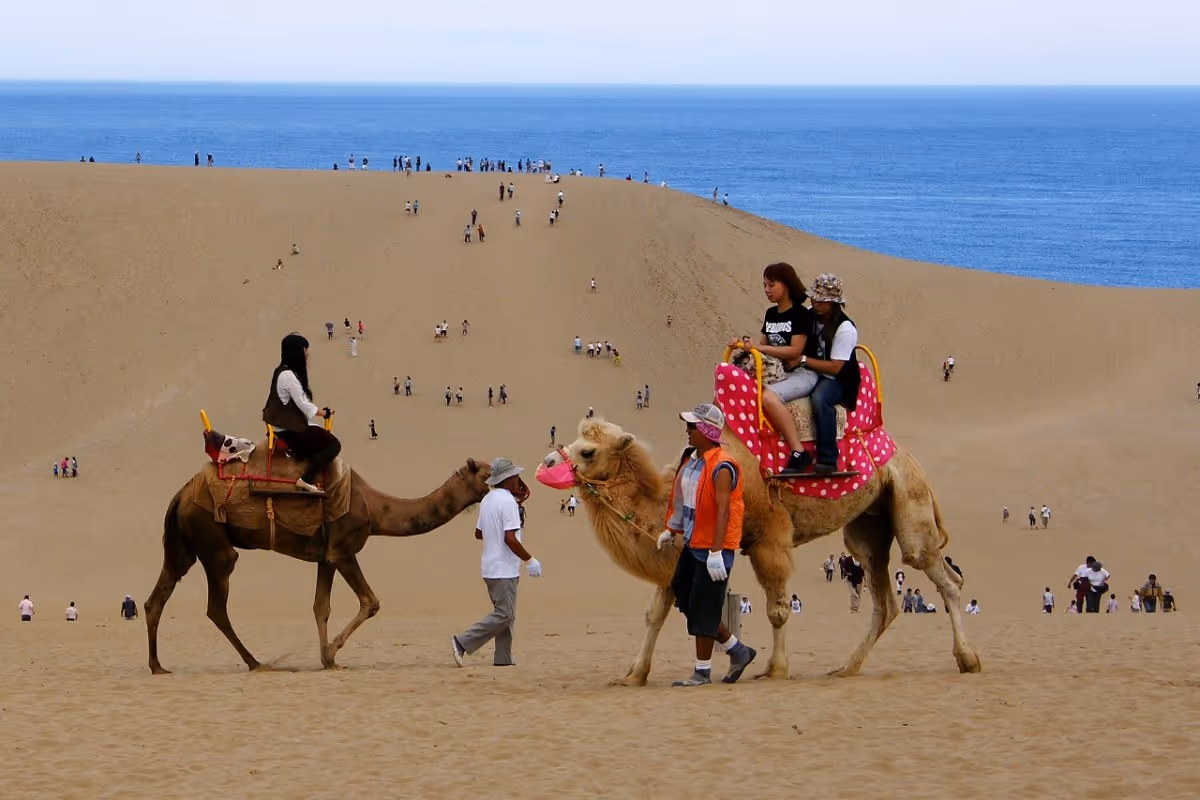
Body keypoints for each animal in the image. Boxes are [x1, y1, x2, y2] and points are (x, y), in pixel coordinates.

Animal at [145, 458, 491, 673]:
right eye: (488, 473)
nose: (512, 487)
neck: (374, 508)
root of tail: (180, 495)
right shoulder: (343, 551)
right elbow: (371, 602)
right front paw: (332, 654)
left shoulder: (326, 557)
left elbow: (320, 606)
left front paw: (327, 660)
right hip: (213, 541)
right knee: (216, 605)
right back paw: (255, 662)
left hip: (182, 546)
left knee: (156, 598)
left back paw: (158, 666)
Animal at [541, 418, 980, 685]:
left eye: (588, 451)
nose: (545, 463)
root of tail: (907, 456)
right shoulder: (678, 552)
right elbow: (657, 613)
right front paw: (633, 675)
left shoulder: (770, 537)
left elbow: (777, 609)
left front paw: (775, 669)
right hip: (868, 526)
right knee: (884, 596)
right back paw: (846, 667)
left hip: (909, 501)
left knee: (942, 575)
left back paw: (968, 659)